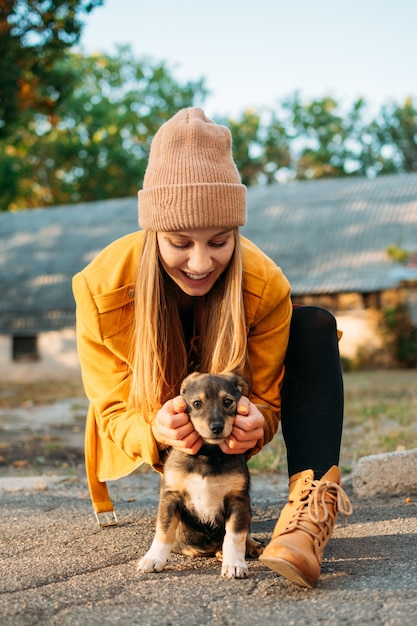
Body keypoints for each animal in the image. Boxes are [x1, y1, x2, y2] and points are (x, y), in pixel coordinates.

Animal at [136, 368, 262, 576]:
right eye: (196, 403)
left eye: (227, 402)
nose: (217, 427)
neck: (208, 454)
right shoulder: (171, 496)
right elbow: (163, 531)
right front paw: (152, 559)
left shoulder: (238, 499)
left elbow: (235, 535)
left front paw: (235, 564)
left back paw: (249, 547)